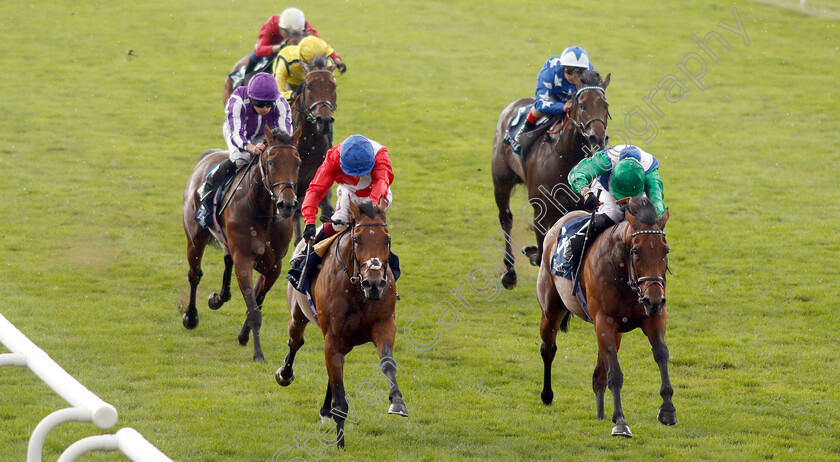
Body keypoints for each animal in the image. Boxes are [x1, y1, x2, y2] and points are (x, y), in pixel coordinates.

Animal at [180, 128, 302, 362]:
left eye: (297, 161)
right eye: (271, 162)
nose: (287, 204)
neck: (263, 213)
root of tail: (207, 157)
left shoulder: (274, 264)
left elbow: (257, 300)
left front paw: (244, 335)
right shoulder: (244, 259)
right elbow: (254, 309)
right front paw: (258, 353)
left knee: (227, 260)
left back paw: (219, 298)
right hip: (195, 237)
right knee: (195, 274)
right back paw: (191, 317)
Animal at [276, 200, 406, 450]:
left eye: (387, 239)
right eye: (357, 240)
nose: (374, 283)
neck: (357, 291)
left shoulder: (384, 325)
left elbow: (387, 362)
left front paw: (397, 402)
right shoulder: (334, 337)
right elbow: (339, 392)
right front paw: (340, 443)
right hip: (299, 314)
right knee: (295, 342)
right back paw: (285, 374)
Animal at [486, 69, 612, 288]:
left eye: (605, 106)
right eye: (582, 104)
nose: (597, 138)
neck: (567, 159)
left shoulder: (585, 209)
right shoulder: (540, 210)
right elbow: (542, 251)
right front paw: (533, 253)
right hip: (501, 181)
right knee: (506, 218)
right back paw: (509, 271)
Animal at [540, 197, 676, 438]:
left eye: (665, 250)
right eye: (636, 251)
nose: (654, 299)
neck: (622, 272)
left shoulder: (653, 318)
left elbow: (661, 354)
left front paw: (667, 409)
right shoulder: (604, 322)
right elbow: (615, 374)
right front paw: (621, 422)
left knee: (598, 374)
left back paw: (601, 412)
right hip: (551, 308)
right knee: (548, 349)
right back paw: (547, 395)